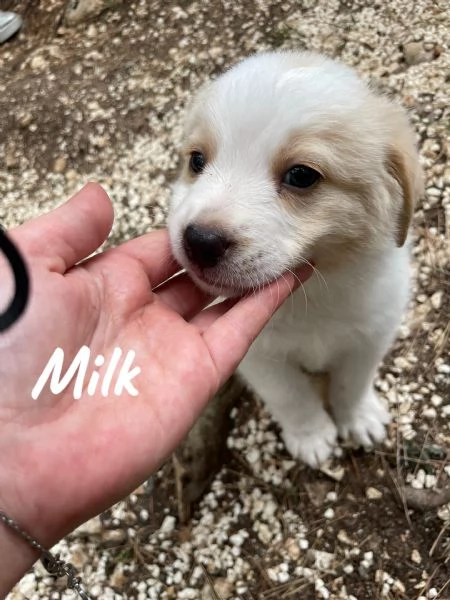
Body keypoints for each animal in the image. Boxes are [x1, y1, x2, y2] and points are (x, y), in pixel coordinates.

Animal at [166, 49, 422, 466]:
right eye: (197, 161)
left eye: (301, 175)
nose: (199, 241)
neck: (313, 295)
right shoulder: (261, 358)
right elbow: (292, 398)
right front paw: (312, 436)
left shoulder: (370, 337)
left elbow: (352, 385)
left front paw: (358, 418)